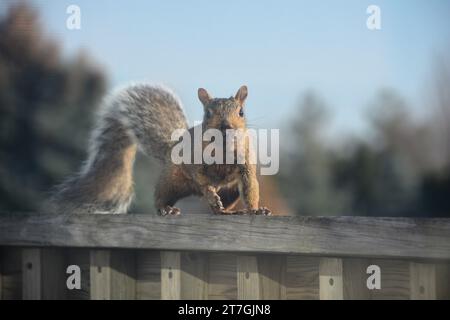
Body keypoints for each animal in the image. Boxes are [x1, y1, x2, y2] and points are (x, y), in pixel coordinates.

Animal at [48, 84, 270, 216]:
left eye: (241, 112)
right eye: (207, 113)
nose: (226, 126)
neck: (222, 148)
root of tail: (170, 149)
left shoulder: (245, 165)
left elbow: (250, 188)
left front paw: (256, 210)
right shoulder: (195, 161)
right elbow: (201, 179)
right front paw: (209, 192)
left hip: (229, 192)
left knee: (222, 205)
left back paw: (224, 211)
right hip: (171, 181)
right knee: (161, 196)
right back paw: (167, 208)